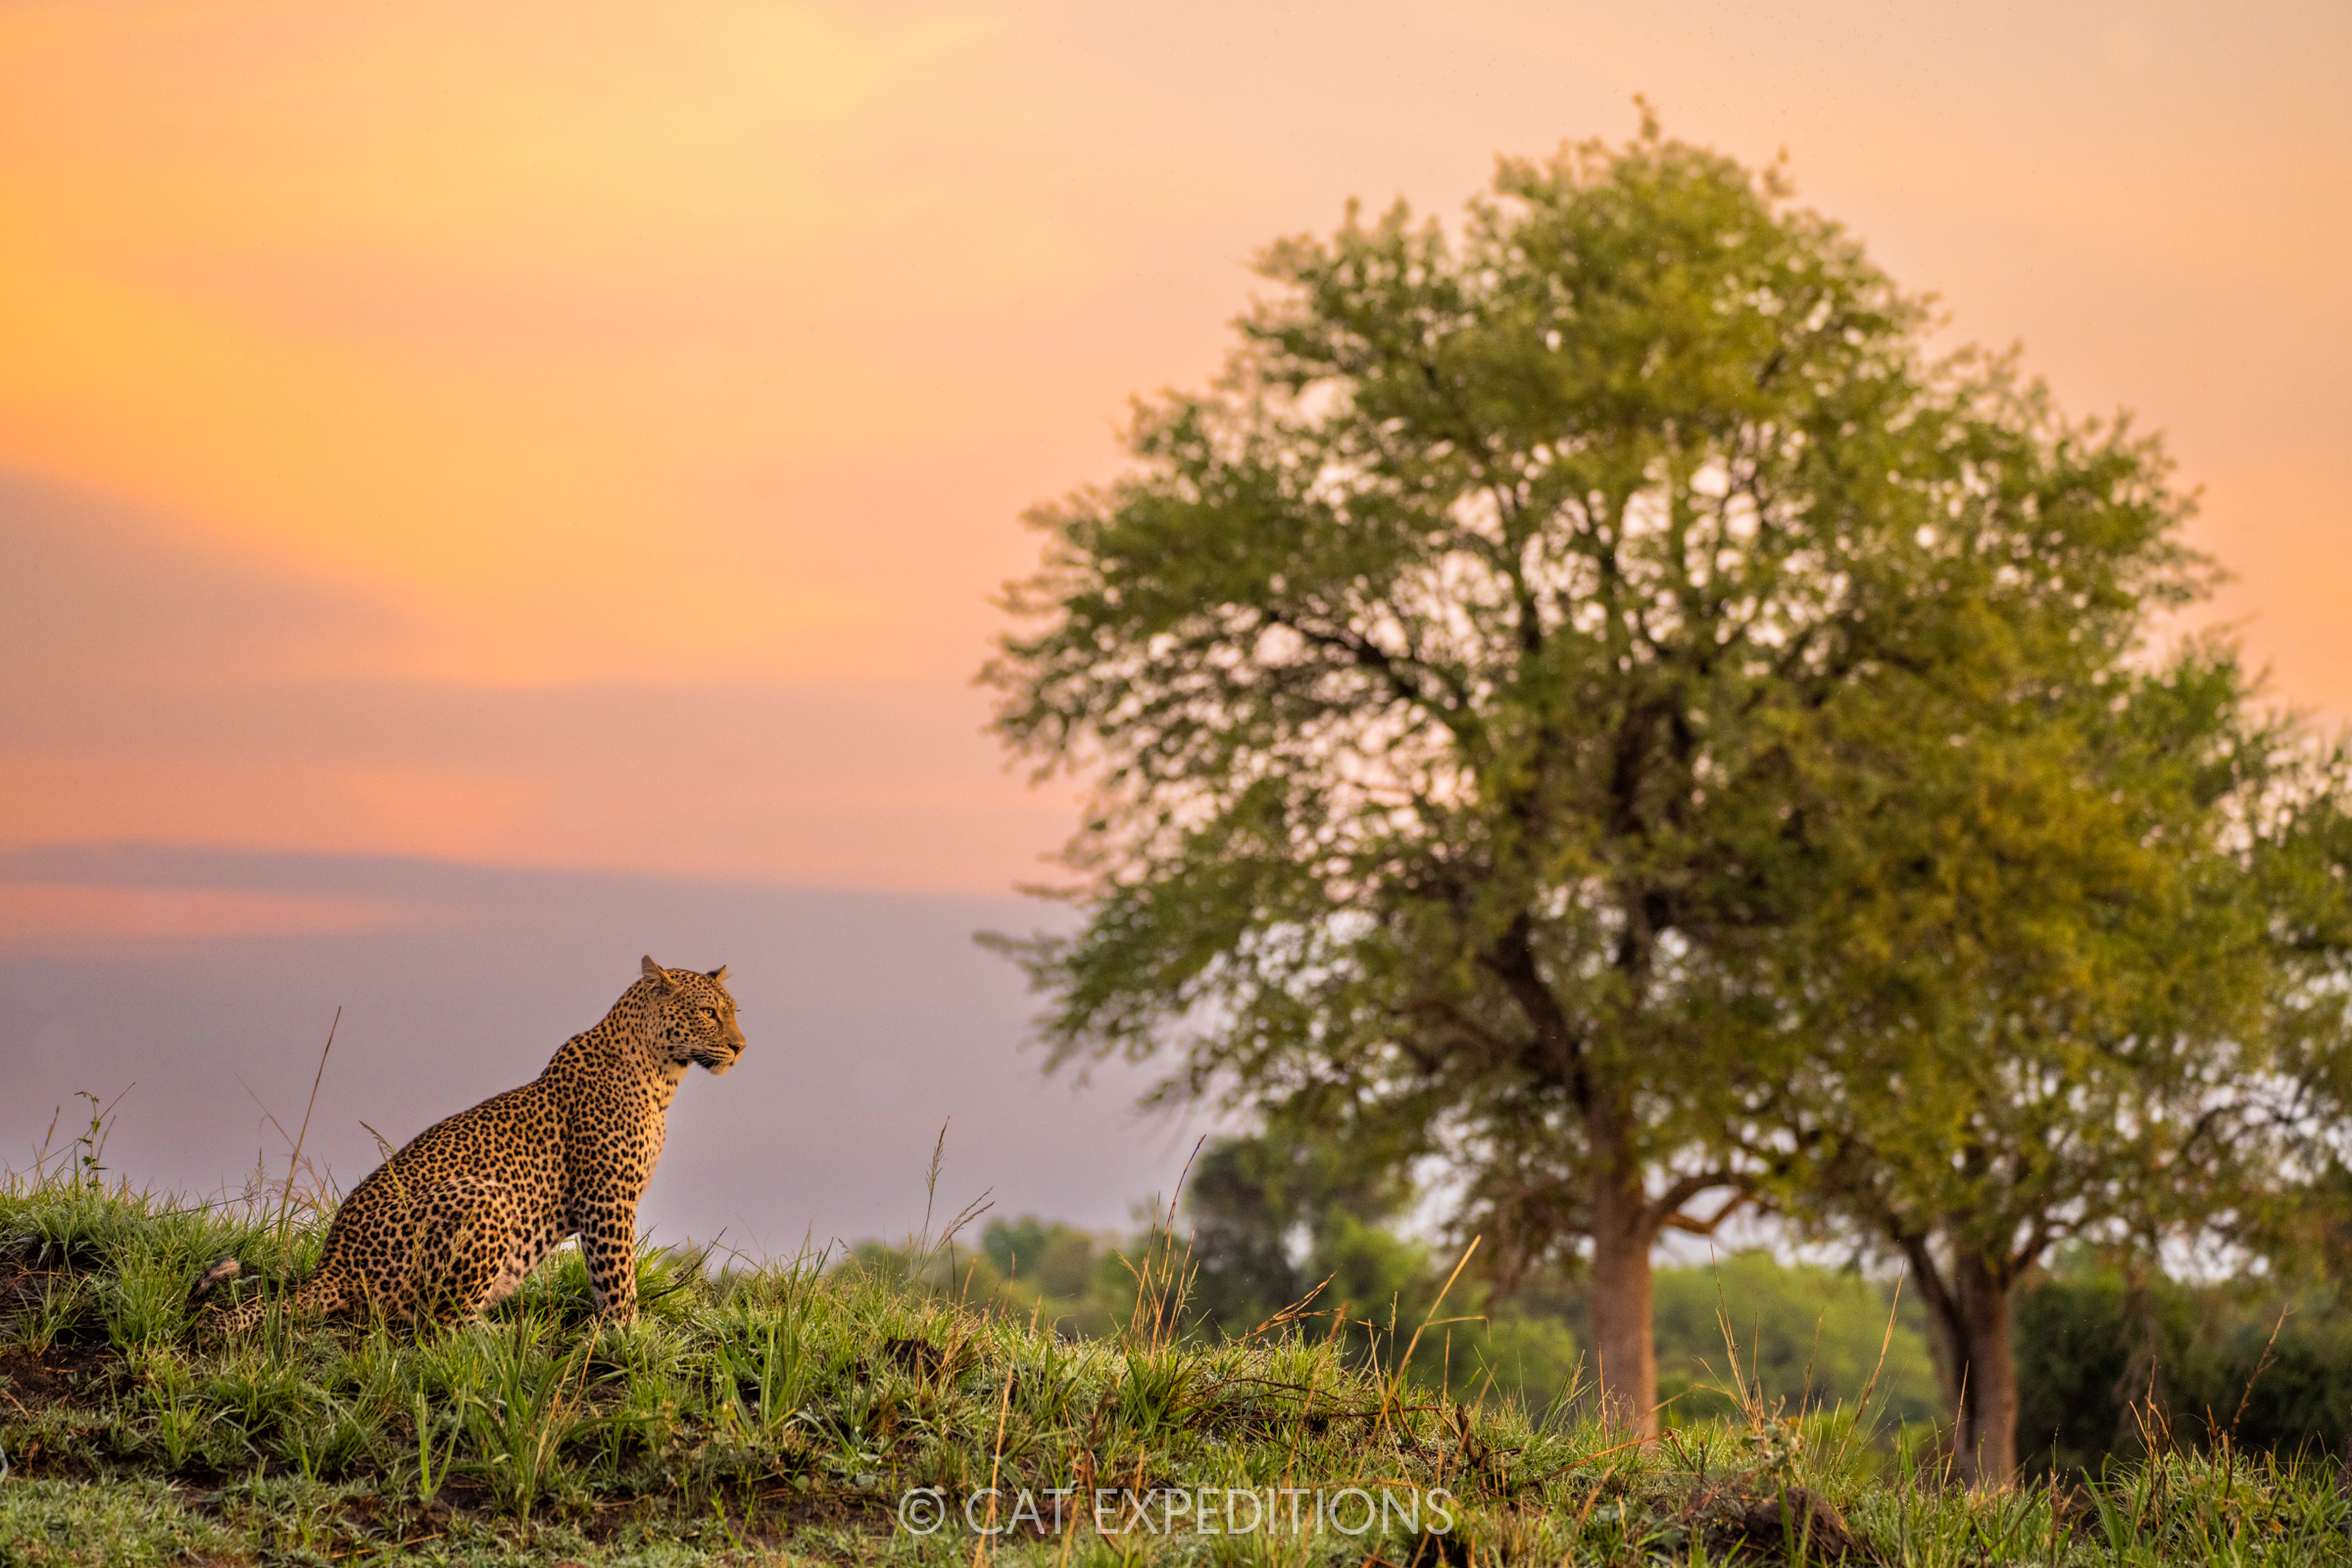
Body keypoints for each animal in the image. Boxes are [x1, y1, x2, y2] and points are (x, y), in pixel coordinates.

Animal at [189, 956, 745, 1332]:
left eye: (733, 1011)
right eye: (707, 1013)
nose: (741, 1047)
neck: (662, 1077)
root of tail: (331, 1267)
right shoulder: (605, 1199)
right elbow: (617, 1276)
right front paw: (627, 1334)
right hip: (484, 1198)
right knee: (436, 1324)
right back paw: (496, 1339)